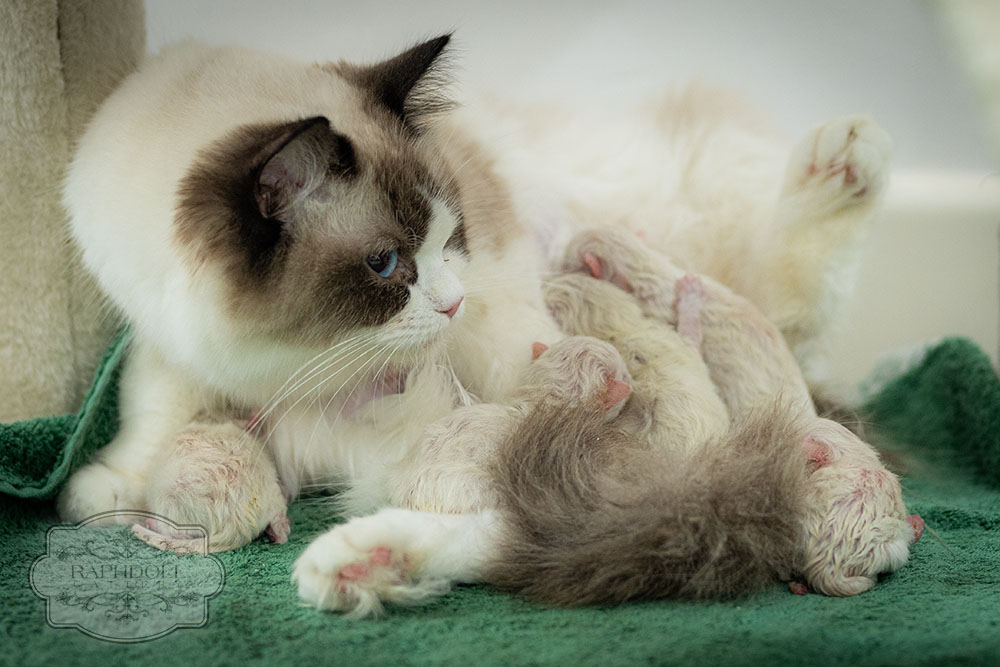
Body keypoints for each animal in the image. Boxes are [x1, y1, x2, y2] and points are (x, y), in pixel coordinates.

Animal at [56, 32, 892, 616]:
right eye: (387, 264)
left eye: (450, 236)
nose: (448, 301)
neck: (304, 357)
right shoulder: (165, 340)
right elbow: (152, 414)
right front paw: (104, 489)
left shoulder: (491, 275)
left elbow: (519, 360)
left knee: (783, 286)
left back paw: (845, 159)